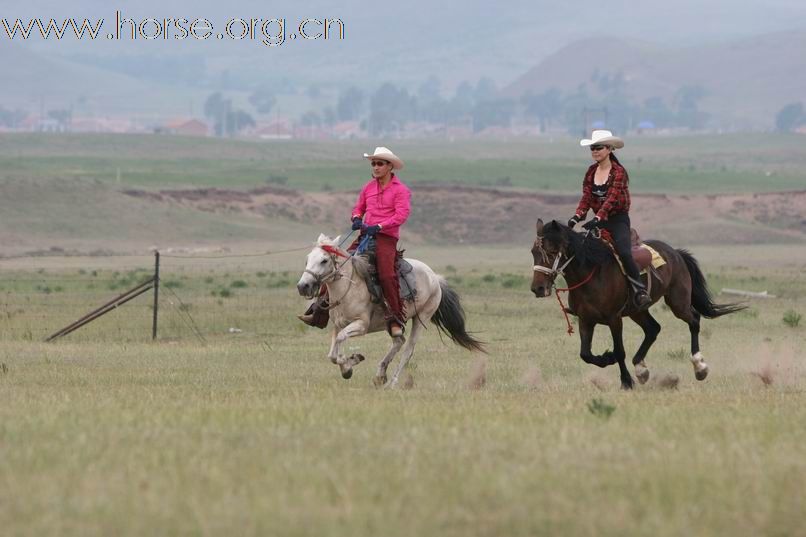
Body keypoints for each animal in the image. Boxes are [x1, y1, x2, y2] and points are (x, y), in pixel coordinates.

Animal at [298, 234, 482, 386]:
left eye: (324, 260)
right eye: (307, 259)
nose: (303, 286)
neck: (350, 287)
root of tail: (435, 277)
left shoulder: (361, 325)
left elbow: (340, 342)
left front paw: (349, 363)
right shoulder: (337, 325)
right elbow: (332, 354)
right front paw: (348, 365)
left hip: (421, 317)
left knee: (408, 350)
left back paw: (392, 382)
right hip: (393, 323)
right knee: (398, 341)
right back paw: (380, 374)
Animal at [532, 219, 744, 390]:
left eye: (552, 251)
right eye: (533, 252)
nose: (538, 288)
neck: (592, 273)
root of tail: (675, 253)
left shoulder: (614, 319)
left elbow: (619, 351)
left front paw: (626, 381)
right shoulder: (586, 320)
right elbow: (585, 354)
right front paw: (607, 358)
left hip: (677, 302)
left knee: (694, 321)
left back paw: (700, 367)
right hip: (638, 310)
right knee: (653, 328)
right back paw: (641, 369)